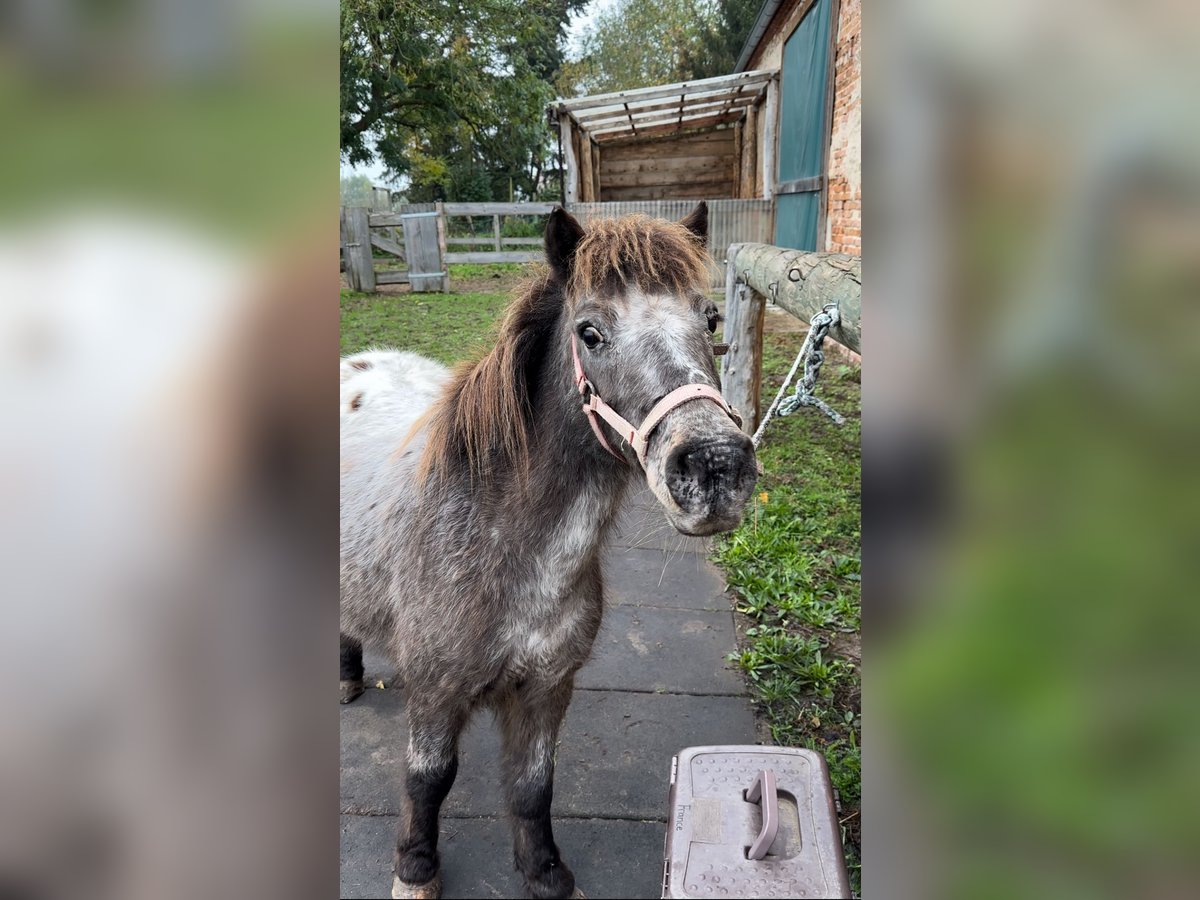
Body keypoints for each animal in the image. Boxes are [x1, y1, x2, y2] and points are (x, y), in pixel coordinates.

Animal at [338, 206, 753, 900]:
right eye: (590, 332)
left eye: (711, 319)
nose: (717, 467)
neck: (502, 545)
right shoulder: (435, 690)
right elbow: (428, 778)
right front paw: (415, 870)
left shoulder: (548, 688)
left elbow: (534, 787)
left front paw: (546, 874)